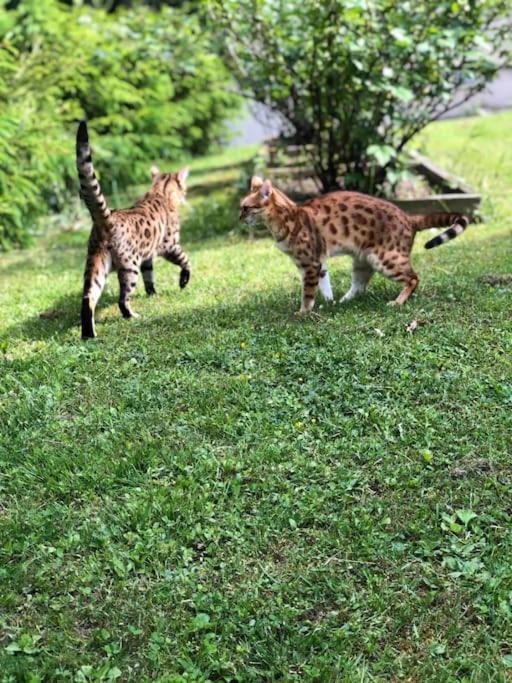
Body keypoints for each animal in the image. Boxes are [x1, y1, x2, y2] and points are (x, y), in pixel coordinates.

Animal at [78, 122, 192, 340]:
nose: (185, 195)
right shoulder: (170, 246)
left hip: (96, 265)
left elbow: (150, 277)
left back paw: (89, 334)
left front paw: (152, 293)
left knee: (88, 297)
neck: (159, 191)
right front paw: (183, 281)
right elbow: (186, 260)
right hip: (130, 266)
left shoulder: (147, 257)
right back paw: (132, 316)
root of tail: (107, 218)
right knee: (122, 300)